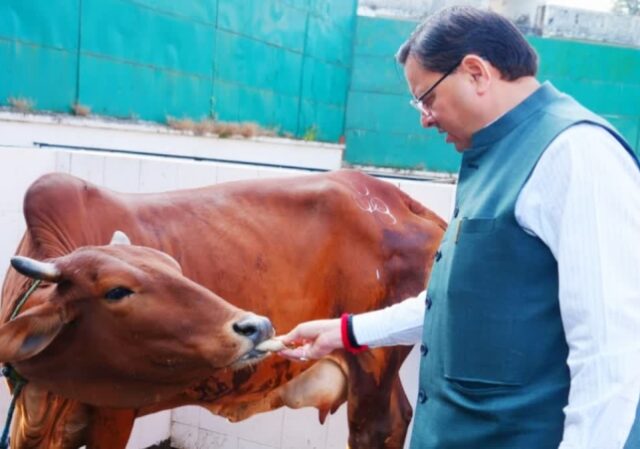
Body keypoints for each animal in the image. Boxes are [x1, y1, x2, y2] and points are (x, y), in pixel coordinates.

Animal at [0, 169, 446, 449]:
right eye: (116, 291)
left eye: (175, 267)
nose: (256, 326)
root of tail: (399, 198)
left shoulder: (116, 412)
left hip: (374, 366)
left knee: (375, 430)